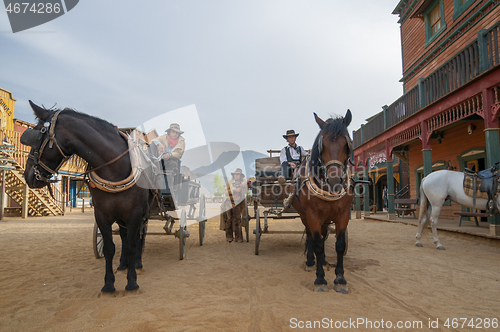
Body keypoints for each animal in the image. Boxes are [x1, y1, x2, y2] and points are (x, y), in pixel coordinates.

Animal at [20, 100, 152, 292]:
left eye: (37, 136)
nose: (28, 175)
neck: (114, 170)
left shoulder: (134, 213)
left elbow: (131, 246)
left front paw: (132, 282)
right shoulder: (102, 215)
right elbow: (110, 248)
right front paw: (108, 284)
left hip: (143, 214)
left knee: (138, 238)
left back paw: (138, 263)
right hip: (121, 217)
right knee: (124, 236)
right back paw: (123, 264)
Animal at [292, 110, 352, 292]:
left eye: (347, 144)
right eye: (322, 145)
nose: (335, 181)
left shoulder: (343, 214)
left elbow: (340, 244)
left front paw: (340, 278)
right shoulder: (312, 215)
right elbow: (317, 243)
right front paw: (320, 278)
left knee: (324, 235)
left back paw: (323, 260)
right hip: (305, 215)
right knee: (311, 236)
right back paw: (311, 261)